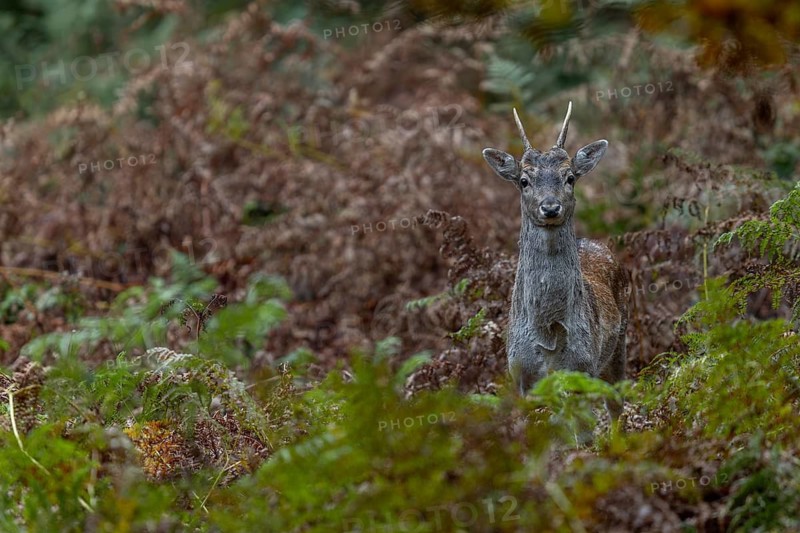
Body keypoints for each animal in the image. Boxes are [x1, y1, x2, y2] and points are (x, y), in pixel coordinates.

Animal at [482, 102, 628, 417]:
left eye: (569, 177)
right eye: (524, 180)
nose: (550, 207)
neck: (548, 335)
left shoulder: (582, 367)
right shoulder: (521, 374)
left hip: (618, 345)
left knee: (616, 404)